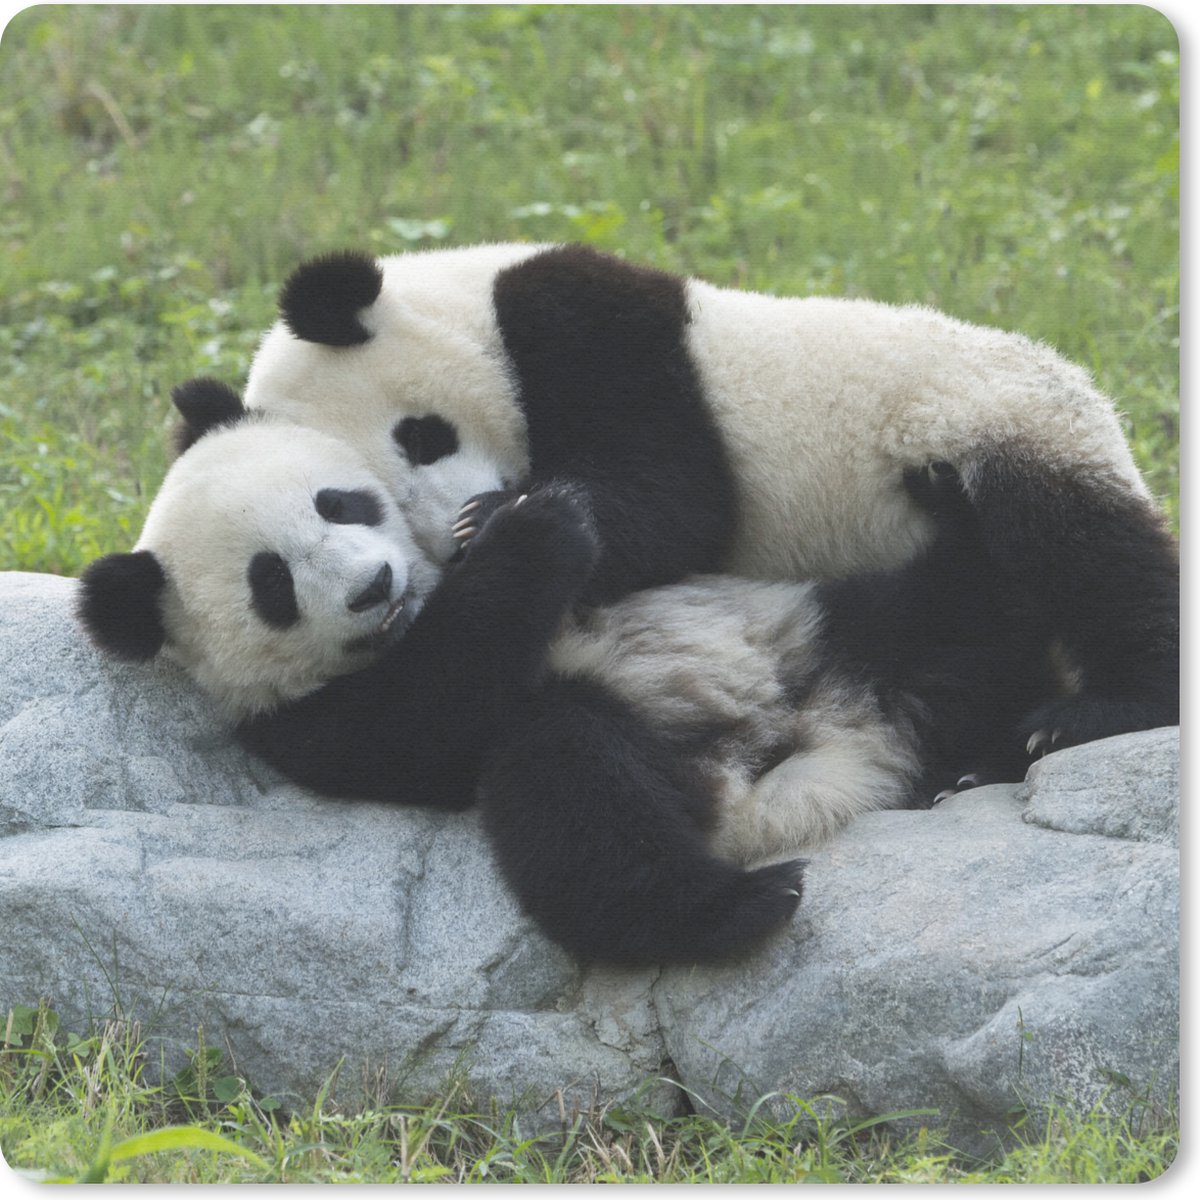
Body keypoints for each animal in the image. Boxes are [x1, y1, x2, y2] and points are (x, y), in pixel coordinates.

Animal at [78, 392, 1049, 965]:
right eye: (272, 584)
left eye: (338, 503)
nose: (372, 586)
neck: (421, 608)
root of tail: (823, 763)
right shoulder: (309, 719)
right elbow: (421, 715)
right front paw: (539, 526)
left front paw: (515, 510)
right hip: (645, 749)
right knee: (581, 796)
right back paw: (738, 906)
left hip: (820, 633)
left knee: (949, 615)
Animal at [238, 243, 1179, 764]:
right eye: (375, 510)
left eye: (420, 436)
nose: (460, 519)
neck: (470, 299)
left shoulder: (587, 323)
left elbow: (679, 493)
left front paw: (500, 517)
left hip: (997, 423)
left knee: (1088, 551)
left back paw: (1098, 711)